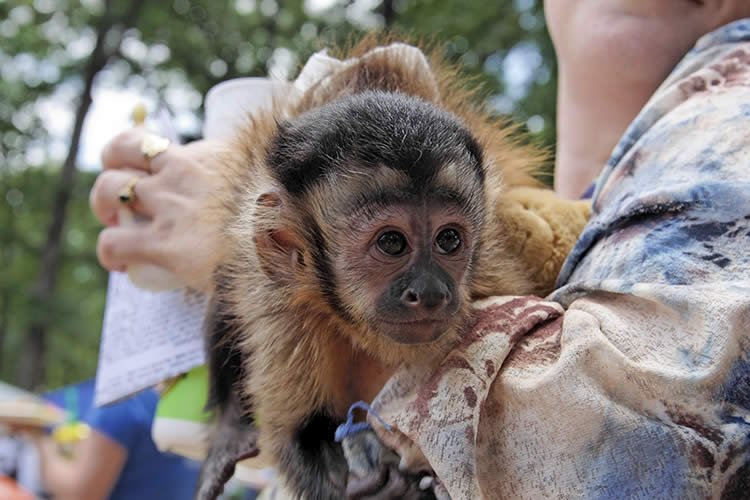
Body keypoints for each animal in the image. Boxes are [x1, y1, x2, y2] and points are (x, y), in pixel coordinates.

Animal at [196, 38, 591, 500]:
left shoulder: (489, 266)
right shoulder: (281, 306)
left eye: (449, 240)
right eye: (391, 243)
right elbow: (300, 432)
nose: (431, 292)